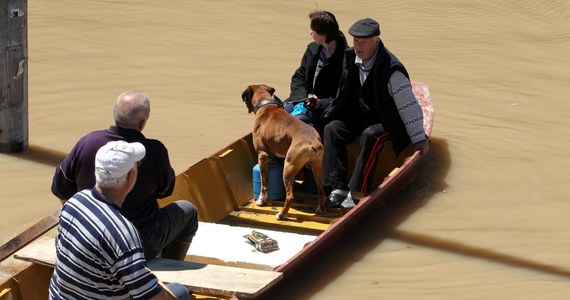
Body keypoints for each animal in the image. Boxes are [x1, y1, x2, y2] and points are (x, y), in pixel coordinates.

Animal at [240, 83, 324, 219]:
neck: (266, 105)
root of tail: (314, 143)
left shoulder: (262, 155)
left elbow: (264, 182)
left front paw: (261, 200)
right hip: (316, 168)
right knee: (321, 191)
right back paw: (320, 209)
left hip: (288, 167)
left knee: (290, 196)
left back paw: (281, 214)